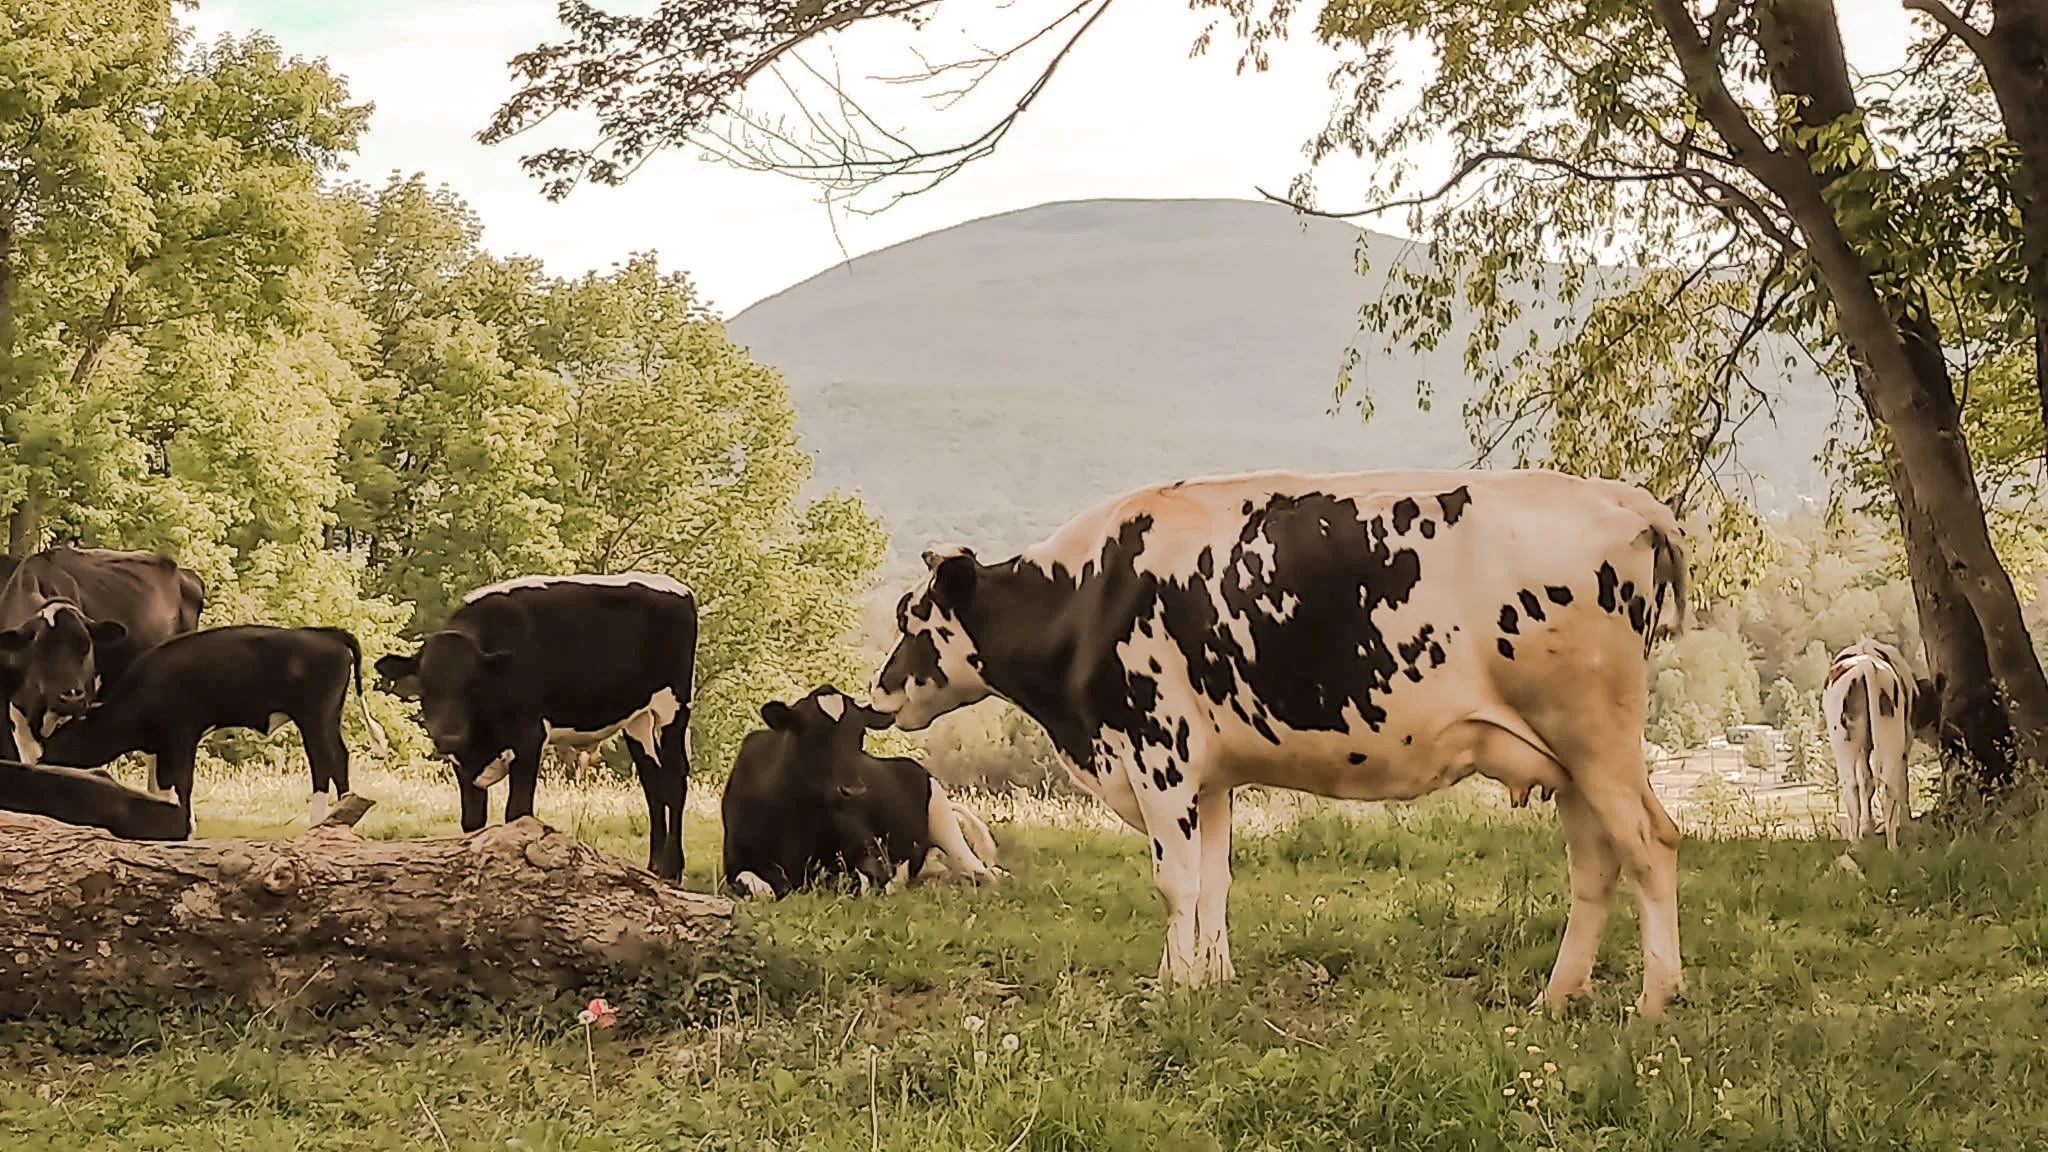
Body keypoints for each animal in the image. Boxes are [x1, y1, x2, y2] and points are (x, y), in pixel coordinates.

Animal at [25, 625, 384, 826]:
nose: (40, 761)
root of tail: (324, 633)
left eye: (64, 737)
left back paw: (318, 821)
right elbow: (165, 783)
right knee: (340, 757)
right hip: (329, 717)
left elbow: (181, 782)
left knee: (323, 762)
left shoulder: (182, 735)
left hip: (314, 717)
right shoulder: (165, 745)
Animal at [373, 573, 697, 882]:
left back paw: (672, 869)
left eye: (472, 683)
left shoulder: (529, 737)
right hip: (638, 719)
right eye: (425, 684)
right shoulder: (462, 762)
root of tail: (677, 588)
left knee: (674, 781)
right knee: (653, 784)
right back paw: (654, 867)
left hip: (673, 707)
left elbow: (517, 814)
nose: (449, 736)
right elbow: (472, 822)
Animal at [721, 684, 1003, 899]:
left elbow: (863, 881)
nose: (854, 790)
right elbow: (761, 888)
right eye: (812, 732)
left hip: (945, 824)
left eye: (860, 733)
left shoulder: (870, 848)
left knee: (982, 871)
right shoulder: (735, 861)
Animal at [869, 468, 1691, 1018]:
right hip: (1568, 761)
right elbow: (1214, 880)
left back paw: (1654, 1000)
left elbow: (1176, 882)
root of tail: (1624, 498)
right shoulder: (1209, 777)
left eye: (914, 618)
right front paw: (1211, 979)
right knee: (1595, 863)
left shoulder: (1158, 754)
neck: (1089, 594)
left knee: (1650, 842)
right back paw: (1559, 995)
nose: (876, 696)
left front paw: (1171, 989)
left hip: (1594, 737)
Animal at [1822, 638, 1942, 850]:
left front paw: (1868, 828)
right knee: (1886, 785)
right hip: (1885, 740)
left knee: (1862, 786)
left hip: (1850, 743)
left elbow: (1867, 780)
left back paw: (1866, 844)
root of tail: (1866, 664)